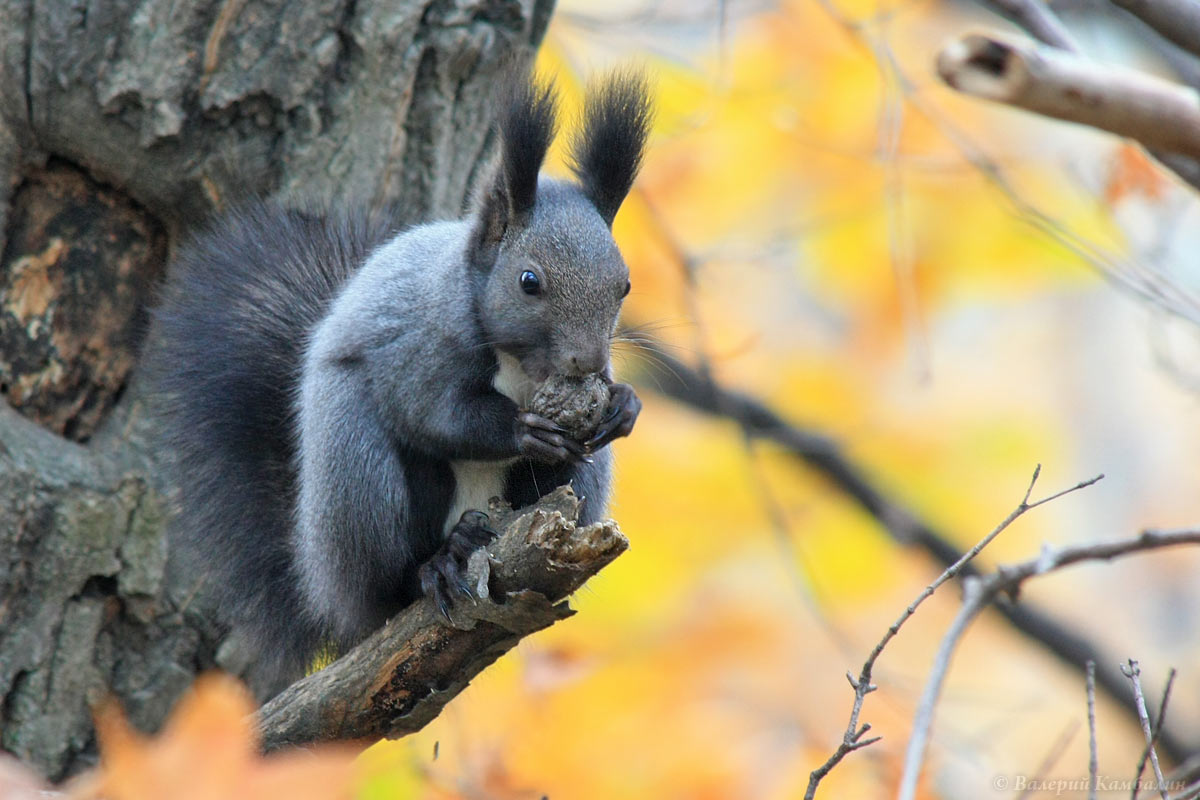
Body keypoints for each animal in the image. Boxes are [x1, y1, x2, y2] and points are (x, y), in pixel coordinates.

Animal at [150, 71, 657, 690]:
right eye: (529, 281)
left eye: (625, 285)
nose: (585, 363)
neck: (520, 365)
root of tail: (327, 591)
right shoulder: (416, 348)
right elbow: (433, 413)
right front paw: (524, 430)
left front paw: (623, 405)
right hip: (359, 478)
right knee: (390, 577)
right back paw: (437, 563)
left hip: (577, 488)